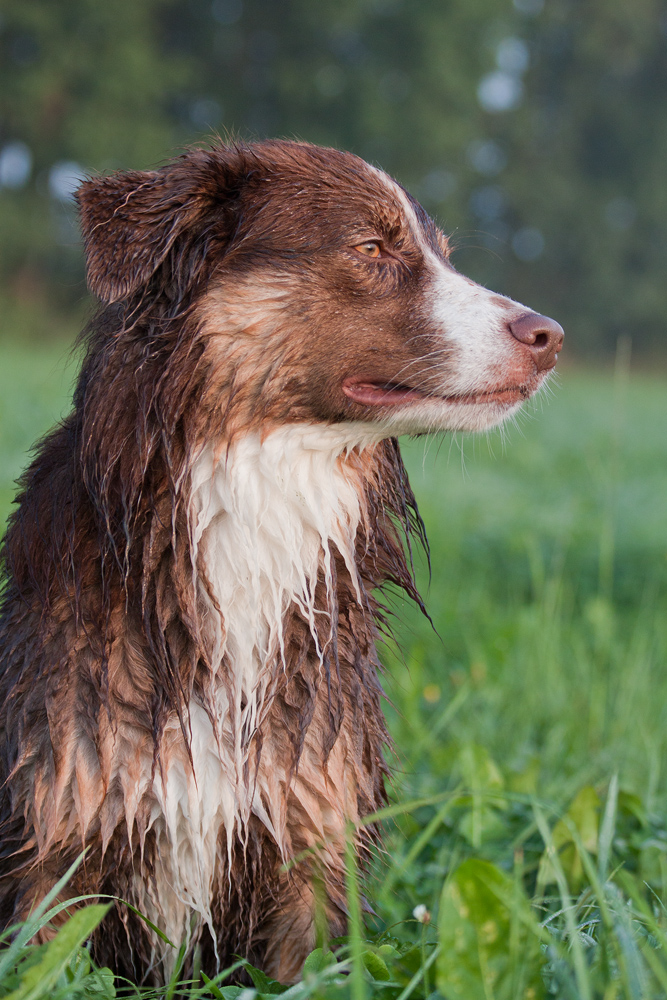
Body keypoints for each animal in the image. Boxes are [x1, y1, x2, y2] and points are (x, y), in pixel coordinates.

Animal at [0, 141, 564, 984]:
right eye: (371, 249)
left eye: (441, 253)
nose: (550, 337)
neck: (255, 490)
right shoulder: (51, 848)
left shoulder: (312, 848)